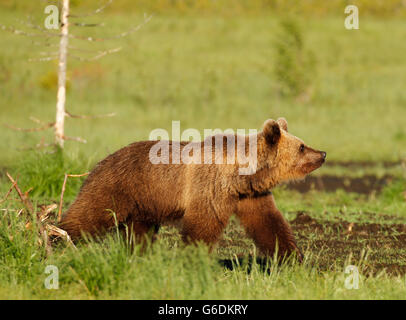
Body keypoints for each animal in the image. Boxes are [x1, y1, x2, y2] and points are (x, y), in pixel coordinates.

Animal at [60, 117, 326, 260]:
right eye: (302, 147)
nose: (322, 153)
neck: (241, 174)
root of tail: (101, 160)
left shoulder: (250, 195)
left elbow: (269, 224)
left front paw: (293, 258)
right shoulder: (210, 187)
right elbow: (202, 225)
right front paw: (193, 260)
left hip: (144, 203)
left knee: (138, 232)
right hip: (116, 186)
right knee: (88, 214)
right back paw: (59, 237)